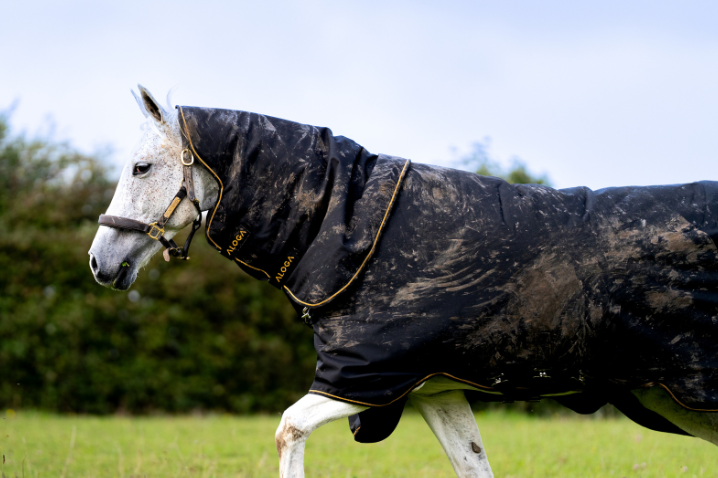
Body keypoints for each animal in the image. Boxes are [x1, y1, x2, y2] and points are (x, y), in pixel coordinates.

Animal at [91, 84, 718, 476]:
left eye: (141, 168)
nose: (99, 261)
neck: (348, 225)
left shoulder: (360, 378)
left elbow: (288, 429)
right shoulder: (434, 389)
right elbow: (473, 464)